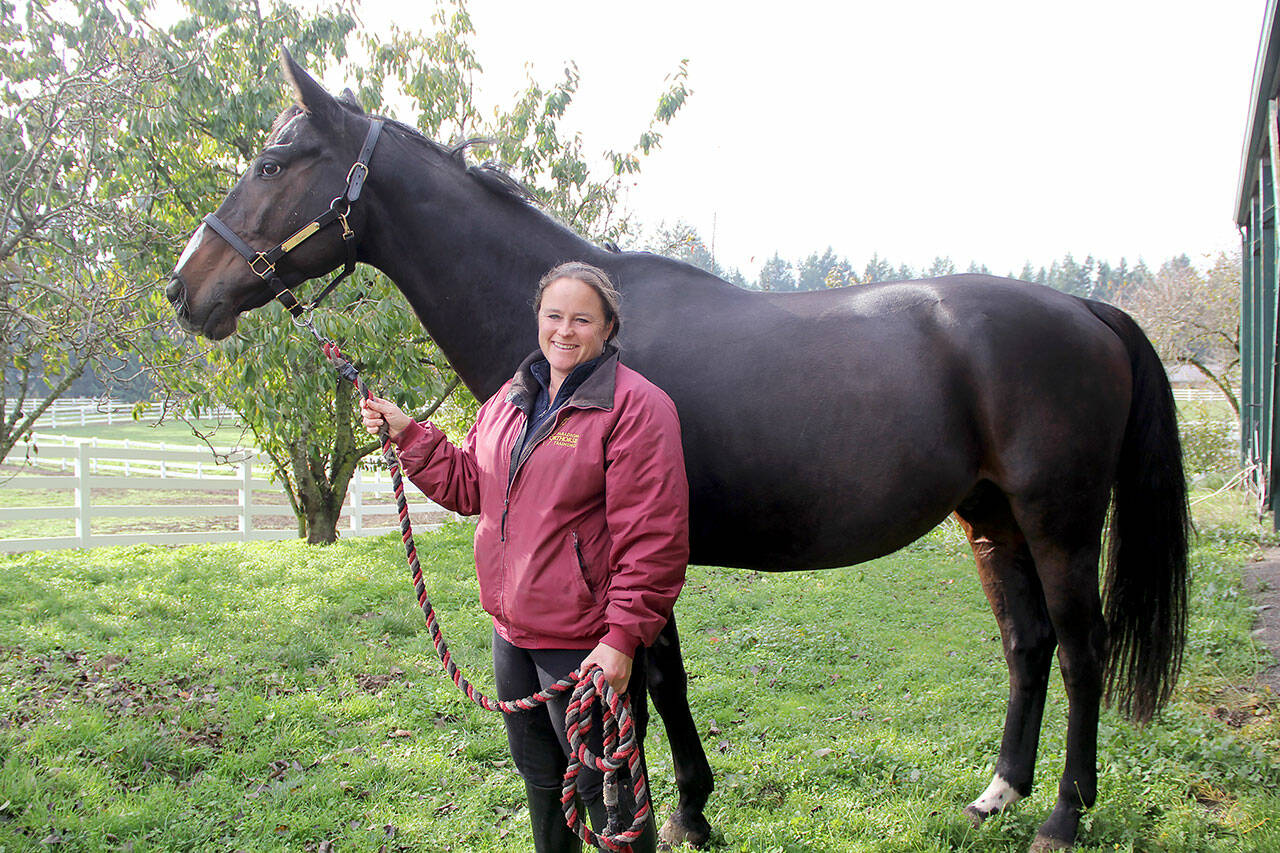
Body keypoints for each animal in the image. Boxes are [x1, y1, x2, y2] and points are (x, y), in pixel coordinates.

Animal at [166, 50, 1189, 853]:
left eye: (273, 161)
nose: (184, 288)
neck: (594, 338)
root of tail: (1085, 308)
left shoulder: (638, 544)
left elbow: (649, 676)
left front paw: (683, 811)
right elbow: (661, 678)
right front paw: (691, 805)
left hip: (1060, 522)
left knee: (1083, 649)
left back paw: (1063, 815)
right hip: (990, 518)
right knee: (1028, 643)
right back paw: (998, 793)